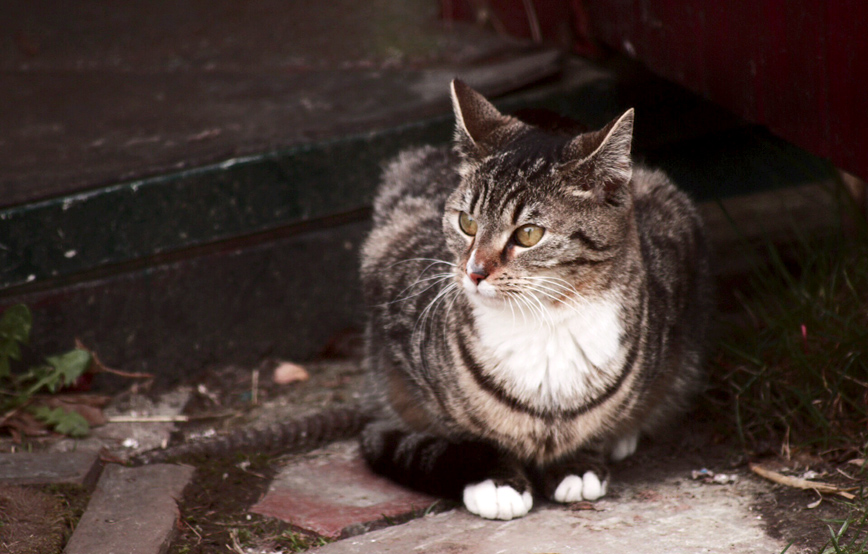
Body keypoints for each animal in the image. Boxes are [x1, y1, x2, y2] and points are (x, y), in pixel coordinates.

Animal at [356, 80, 708, 520]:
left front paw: (580, 462)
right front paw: (495, 478)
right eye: (466, 223)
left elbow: (599, 421)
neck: (546, 320)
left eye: (528, 234)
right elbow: (462, 432)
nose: (473, 271)